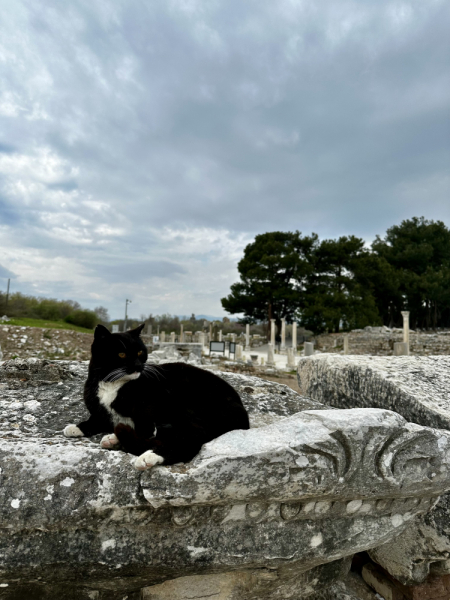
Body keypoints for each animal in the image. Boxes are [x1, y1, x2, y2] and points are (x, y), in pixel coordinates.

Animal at [64, 322, 250, 472]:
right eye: (122, 354)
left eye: (140, 352)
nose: (138, 365)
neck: (113, 384)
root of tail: (243, 413)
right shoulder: (100, 411)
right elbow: (95, 419)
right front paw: (77, 427)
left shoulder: (149, 413)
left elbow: (145, 429)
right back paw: (114, 439)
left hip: (187, 407)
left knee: (190, 439)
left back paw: (148, 455)